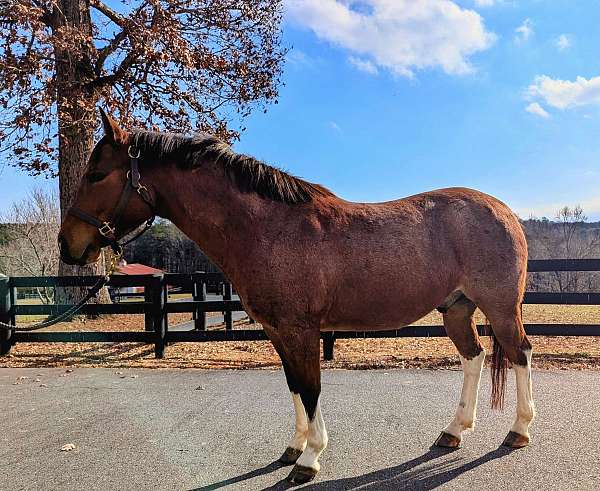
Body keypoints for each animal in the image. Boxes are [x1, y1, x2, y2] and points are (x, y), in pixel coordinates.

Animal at [59, 109, 536, 486]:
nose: (67, 245)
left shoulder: (301, 329)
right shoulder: (278, 331)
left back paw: (518, 431)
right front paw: (294, 447)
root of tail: (504, 211)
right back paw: (454, 431)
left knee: (520, 353)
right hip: (456, 308)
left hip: (500, 308)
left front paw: (309, 459)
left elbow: (310, 387)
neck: (268, 230)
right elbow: (293, 385)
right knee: (474, 356)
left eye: (97, 175)